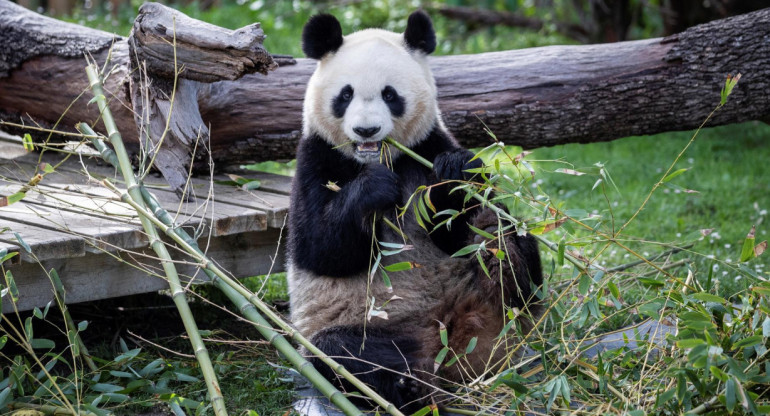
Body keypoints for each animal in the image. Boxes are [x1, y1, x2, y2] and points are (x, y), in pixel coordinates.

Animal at [284, 10, 544, 412]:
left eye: (390, 95)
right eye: (345, 94)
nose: (367, 130)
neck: (382, 158)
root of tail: (453, 339)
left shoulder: (427, 146)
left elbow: (454, 226)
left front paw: (454, 173)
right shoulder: (317, 157)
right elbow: (321, 248)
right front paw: (373, 189)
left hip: (497, 309)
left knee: (511, 248)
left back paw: (500, 256)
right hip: (376, 327)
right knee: (343, 353)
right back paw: (408, 387)